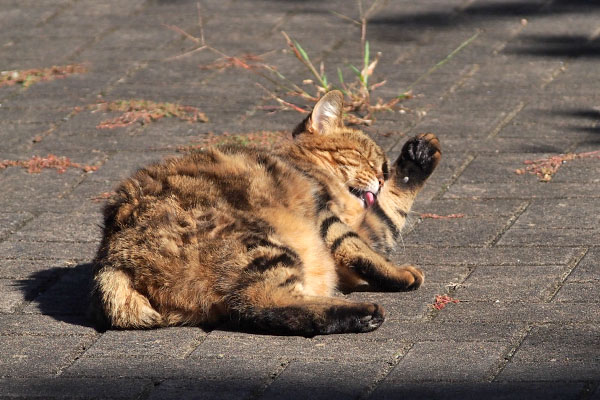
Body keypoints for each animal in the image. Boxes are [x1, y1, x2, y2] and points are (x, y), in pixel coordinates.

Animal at [89, 90, 440, 334]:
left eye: (383, 167)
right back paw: (362, 313)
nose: (380, 176)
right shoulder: (328, 217)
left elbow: (390, 209)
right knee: (262, 304)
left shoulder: (364, 225)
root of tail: (112, 259)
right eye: (365, 157)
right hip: (261, 244)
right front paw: (401, 274)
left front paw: (419, 156)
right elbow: (365, 249)